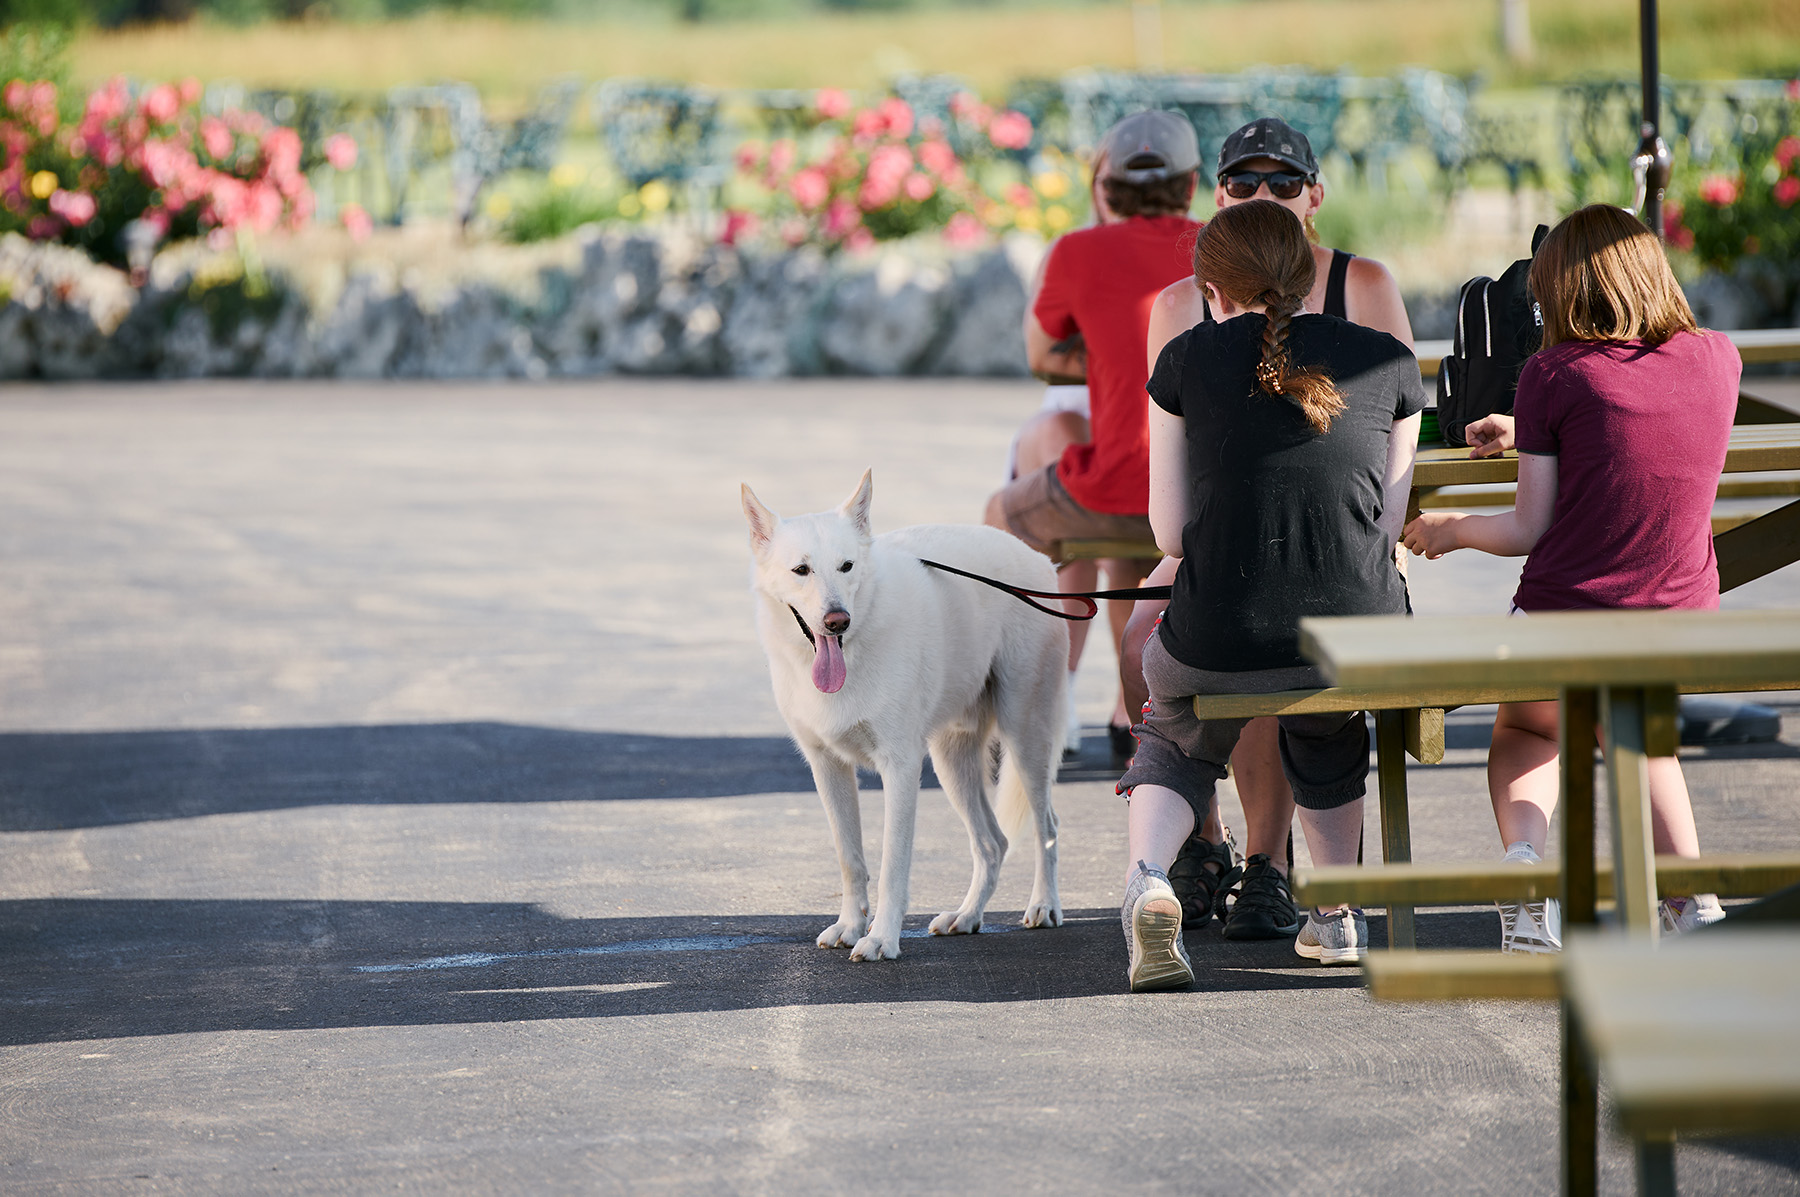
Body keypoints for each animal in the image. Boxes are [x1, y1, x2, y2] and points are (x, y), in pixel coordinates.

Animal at [745, 468, 1065, 964]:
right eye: (801, 570)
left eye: (847, 567)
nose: (837, 621)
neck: (855, 645)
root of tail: (1040, 561)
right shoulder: (827, 768)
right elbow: (851, 859)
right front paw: (850, 926)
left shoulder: (900, 767)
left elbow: (891, 865)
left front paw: (881, 939)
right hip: (951, 763)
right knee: (993, 843)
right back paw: (967, 917)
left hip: (1025, 737)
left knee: (1045, 827)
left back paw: (1044, 905)